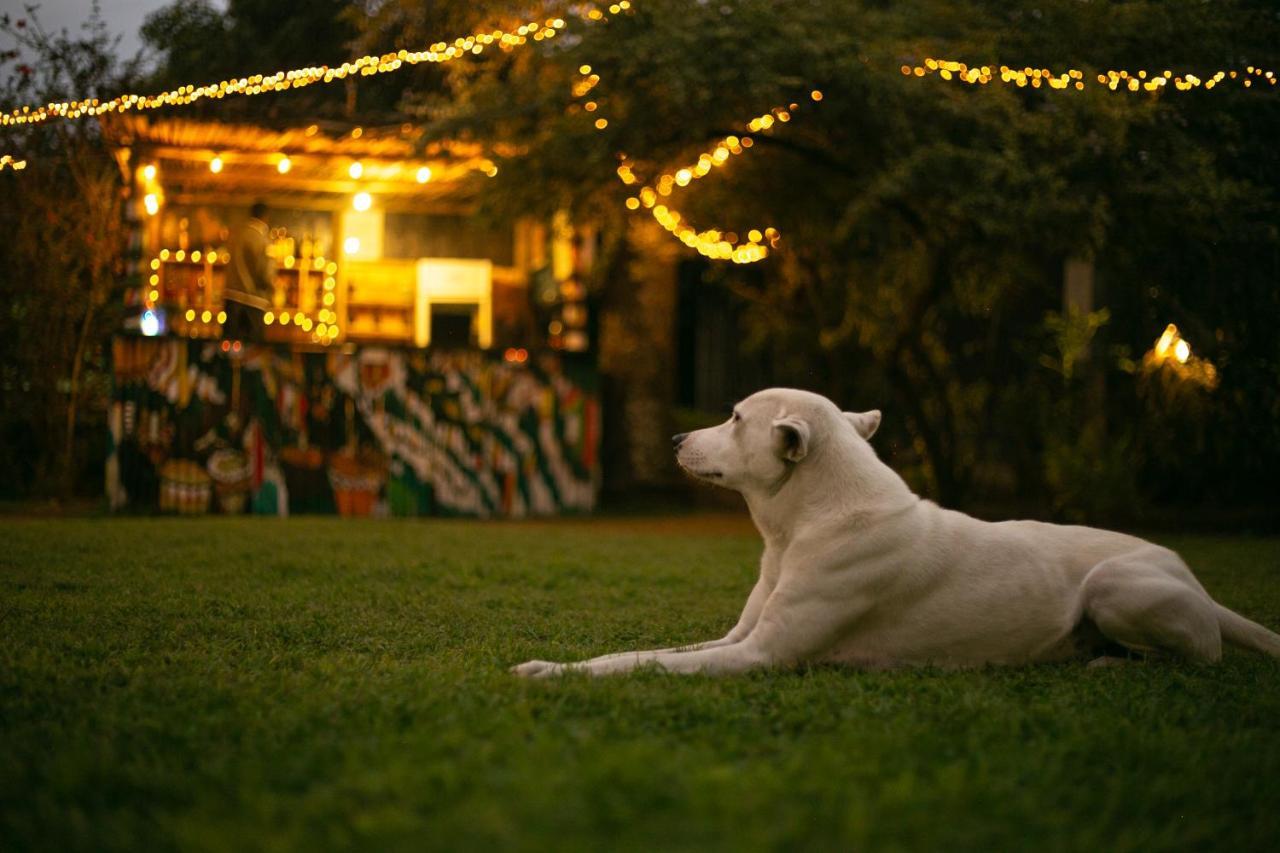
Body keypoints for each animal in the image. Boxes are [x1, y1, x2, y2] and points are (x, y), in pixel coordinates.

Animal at [512, 389, 1280, 676]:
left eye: (733, 418)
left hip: (1119, 584)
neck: (801, 524)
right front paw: (555, 663)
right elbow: (640, 651)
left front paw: (554, 674)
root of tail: (1190, 575)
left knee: (1204, 654)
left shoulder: (760, 655)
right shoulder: (738, 638)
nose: (674, 439)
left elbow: (635, 666)